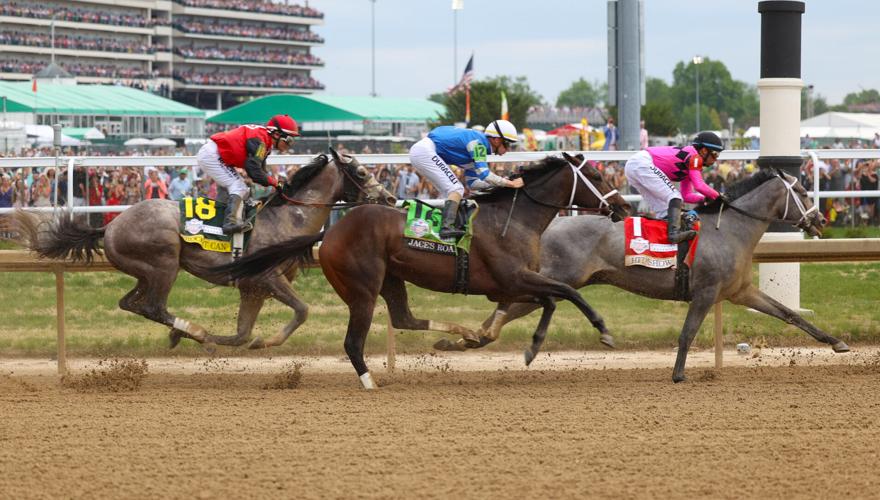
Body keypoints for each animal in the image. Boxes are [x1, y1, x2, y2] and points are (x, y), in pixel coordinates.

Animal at [15, 149, 396, 349]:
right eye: (363, 172)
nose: (391, 198)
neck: (289, 217)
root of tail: (110, 225)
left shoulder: (253, 288)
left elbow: (241, 334)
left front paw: (234, 340)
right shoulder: (267, 278)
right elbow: (301, 311)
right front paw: (265, 341)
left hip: (143, 271)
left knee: (131, 303)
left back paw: (182, 332)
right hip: (164, 264)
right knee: (153, 306)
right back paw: (190, 329)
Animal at [204, 153, 632, 388]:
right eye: (597, 176)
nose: (625, 207)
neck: (514, 219)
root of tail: (330, 231)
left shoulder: (510, 286)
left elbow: (551, 300)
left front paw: (523, 345)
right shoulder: (513, 279)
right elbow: (566, 293)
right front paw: (603, 331)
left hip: (392, 279)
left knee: (404, 318)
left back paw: (458, 333)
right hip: (363, 288)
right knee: (353, 342)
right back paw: (370, 382)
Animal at [454, 168, 850, 382]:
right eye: (802, 191)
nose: (820, 219)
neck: (731, 230)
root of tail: (547, 227)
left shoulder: (740, 292)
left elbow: (790, 314)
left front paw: (837, 343)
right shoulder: (705, 294)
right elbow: (687, 334)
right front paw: (678, 374)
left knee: (509, 307)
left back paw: (470, 338)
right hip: (554, 277)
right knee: (513, 305)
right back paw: (473, 338)